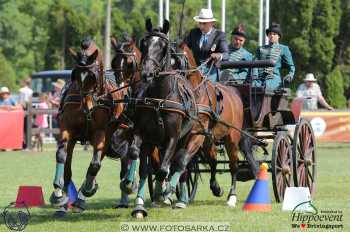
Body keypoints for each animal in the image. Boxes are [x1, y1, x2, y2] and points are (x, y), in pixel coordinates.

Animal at [49, 38, 125, 216]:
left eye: (93, 76)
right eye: (76, 75)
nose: (86, 107)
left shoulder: (100, 133)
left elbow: (95, 164)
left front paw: (87, 189)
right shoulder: (67, 129)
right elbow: (62, 157)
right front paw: (59, 195)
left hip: (108, 135)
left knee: (99, 161)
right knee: (69, 166)